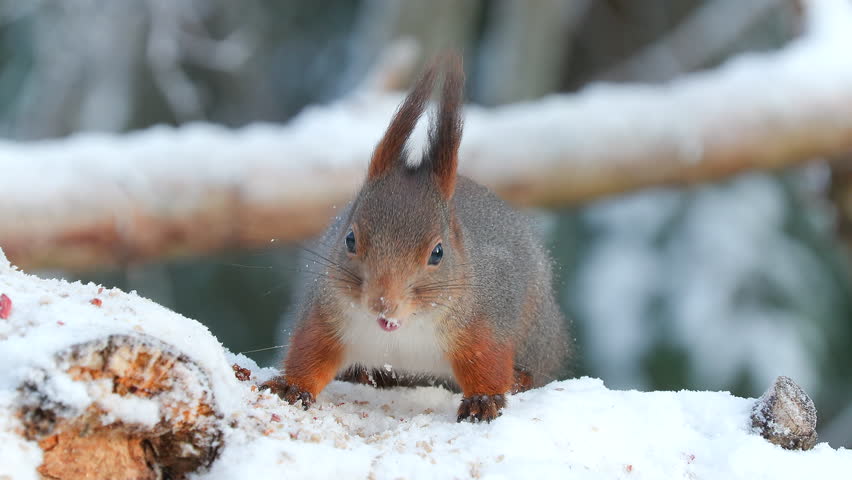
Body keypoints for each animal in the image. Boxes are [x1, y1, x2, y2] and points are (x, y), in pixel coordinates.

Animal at [261, 54, 571, 423]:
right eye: (350, 239)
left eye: (438, 252)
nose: (382, 302)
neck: (402, 328)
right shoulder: (327, 315)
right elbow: (313, 352)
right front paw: (292, 387)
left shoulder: (486, 320)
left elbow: (488, 361)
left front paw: (484, 401)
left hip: (538, 334)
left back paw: (521, 378)